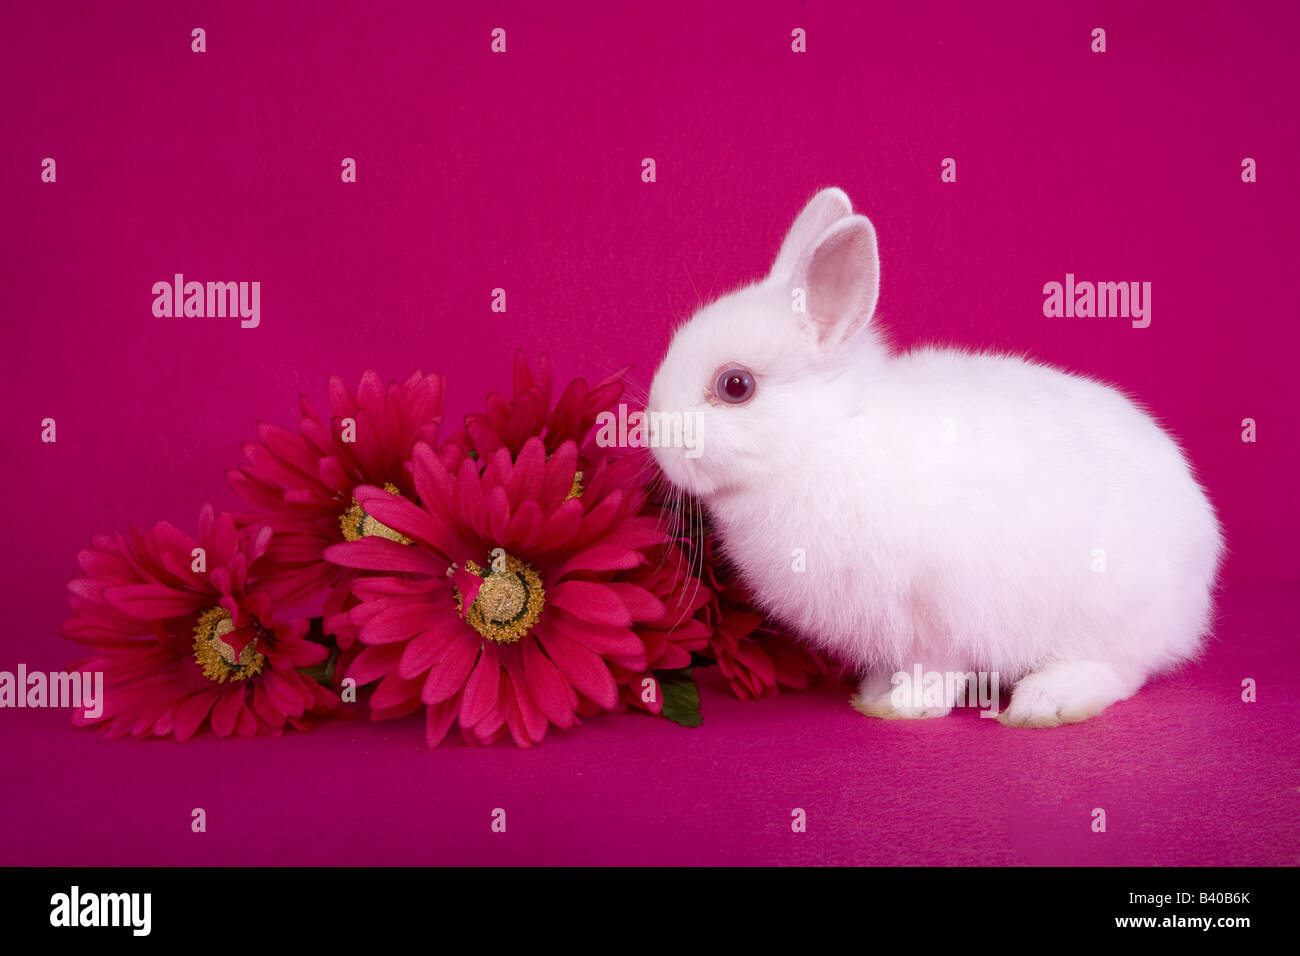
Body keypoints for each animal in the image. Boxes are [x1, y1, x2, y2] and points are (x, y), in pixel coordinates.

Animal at [650, 187, 1227, 723]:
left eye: (735, 386)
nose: (655, 438)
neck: (827, 437)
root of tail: (1199, 571)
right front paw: (874, 694)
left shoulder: (933, 612)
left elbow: (936, 668)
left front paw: (901, 707)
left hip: (1102, 612)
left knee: (1119, 669)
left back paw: (1045, 702)